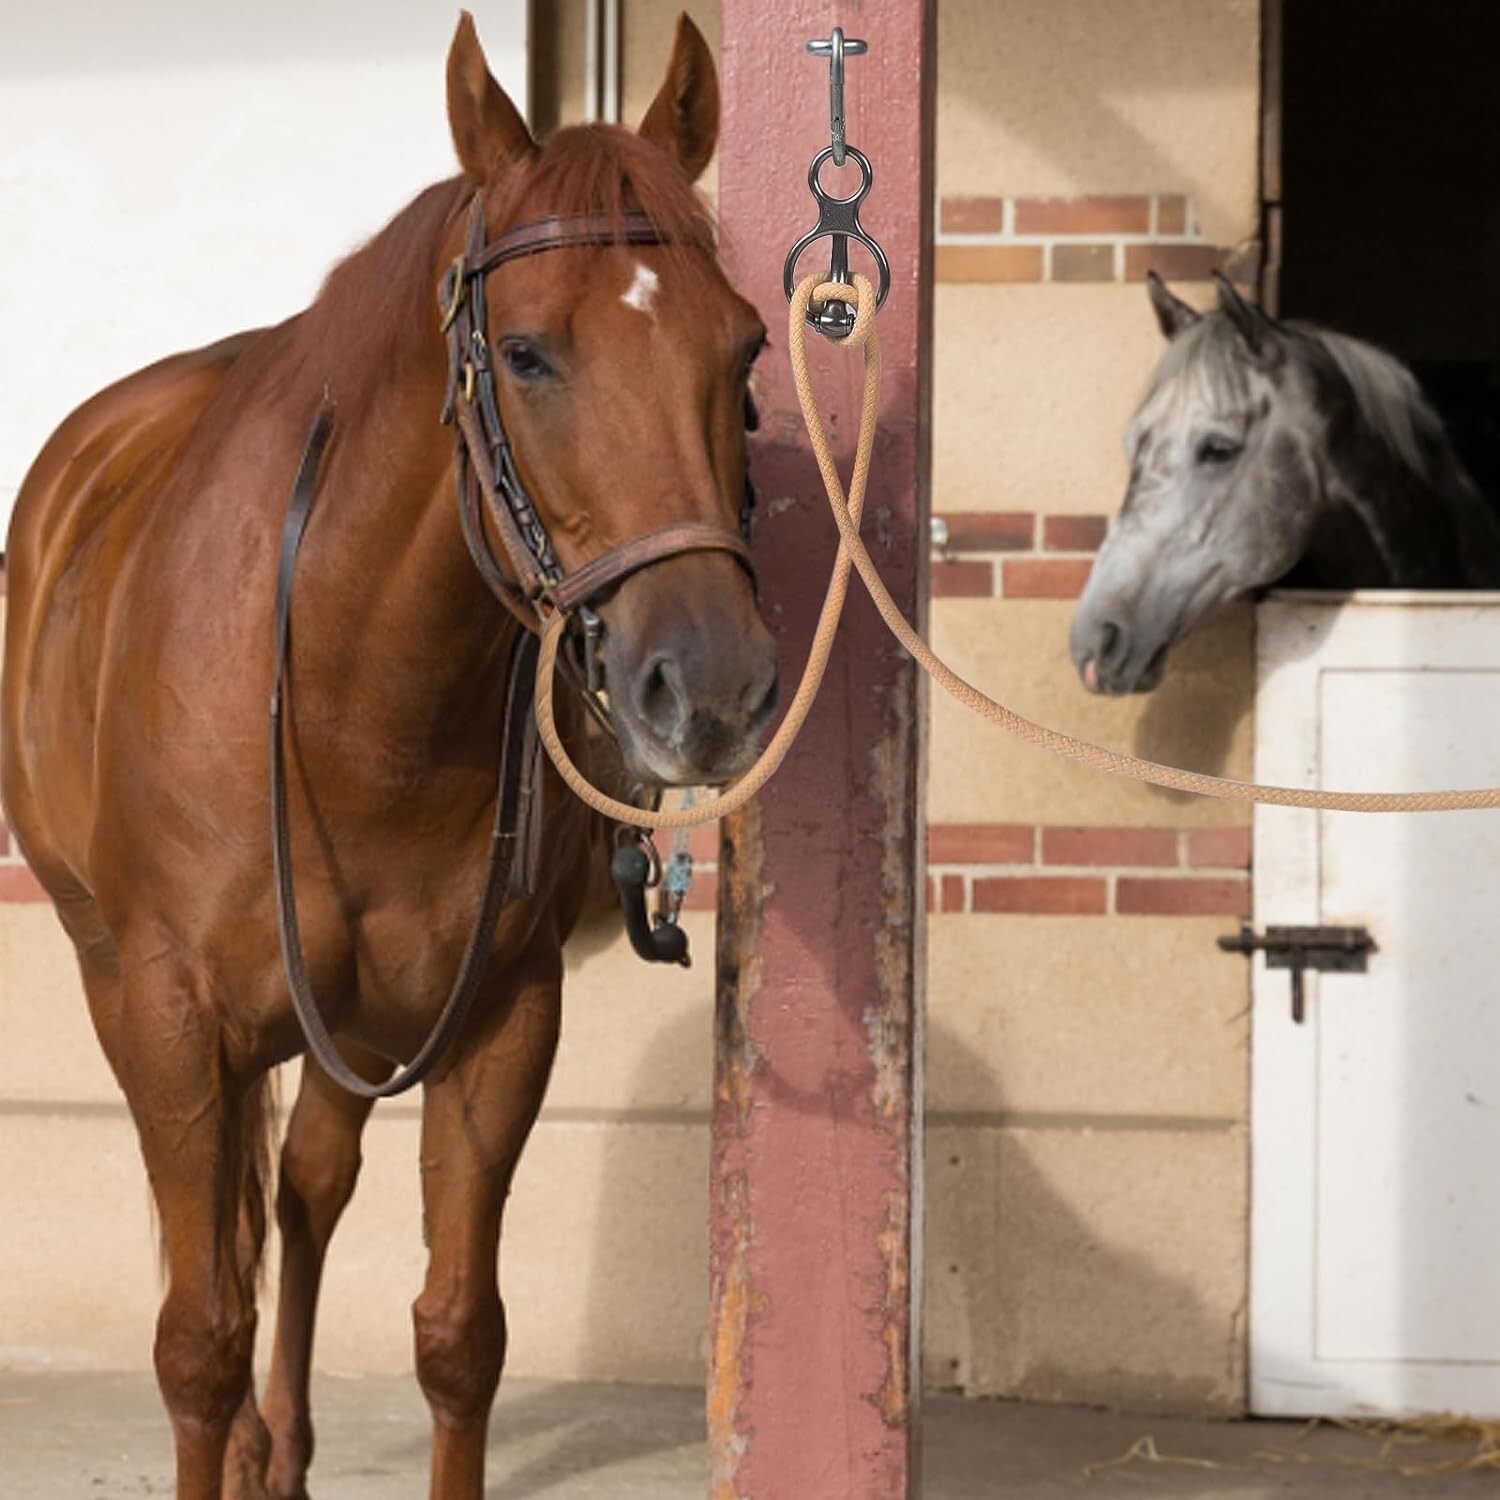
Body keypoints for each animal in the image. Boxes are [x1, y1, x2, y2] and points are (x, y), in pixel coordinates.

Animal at [0, 14, 775, 1499]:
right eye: (525, 354)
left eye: (749, 348)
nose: (710, 686)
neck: (357, 707)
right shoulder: (168, 1016)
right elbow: (195, 1339)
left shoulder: (497, 1018)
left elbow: (458, 1334)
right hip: (126, 977)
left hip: (357, 1022)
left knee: (300, 1189)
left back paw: (285, 1445)